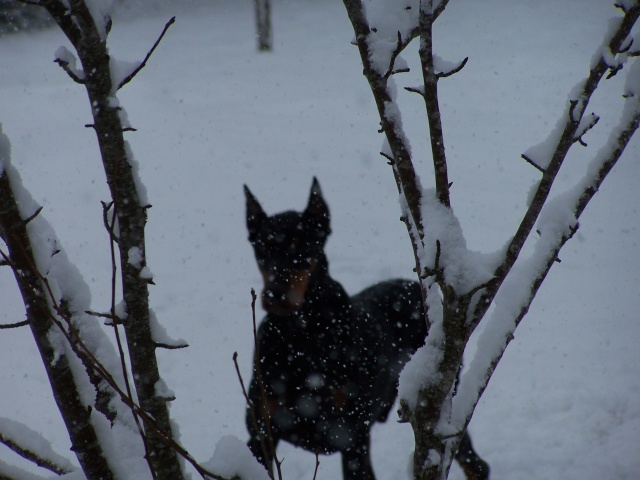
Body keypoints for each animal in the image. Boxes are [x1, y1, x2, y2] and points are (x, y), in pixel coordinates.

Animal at [242, 178, 488, 478]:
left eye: (304, 246)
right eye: (262, 249)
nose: (275, 294)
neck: (300, 337)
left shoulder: (349, 436)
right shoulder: (260, 435)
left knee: (474, 463)